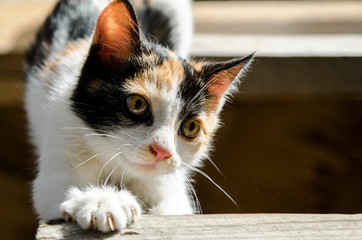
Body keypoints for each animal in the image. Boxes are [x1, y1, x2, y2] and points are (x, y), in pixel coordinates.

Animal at [24, 0, 253, 233]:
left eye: (191, 127)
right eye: (137, 104)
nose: (162, 151)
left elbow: (173, 210)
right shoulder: (62, 133)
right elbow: (53, 188)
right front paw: (103, 202)